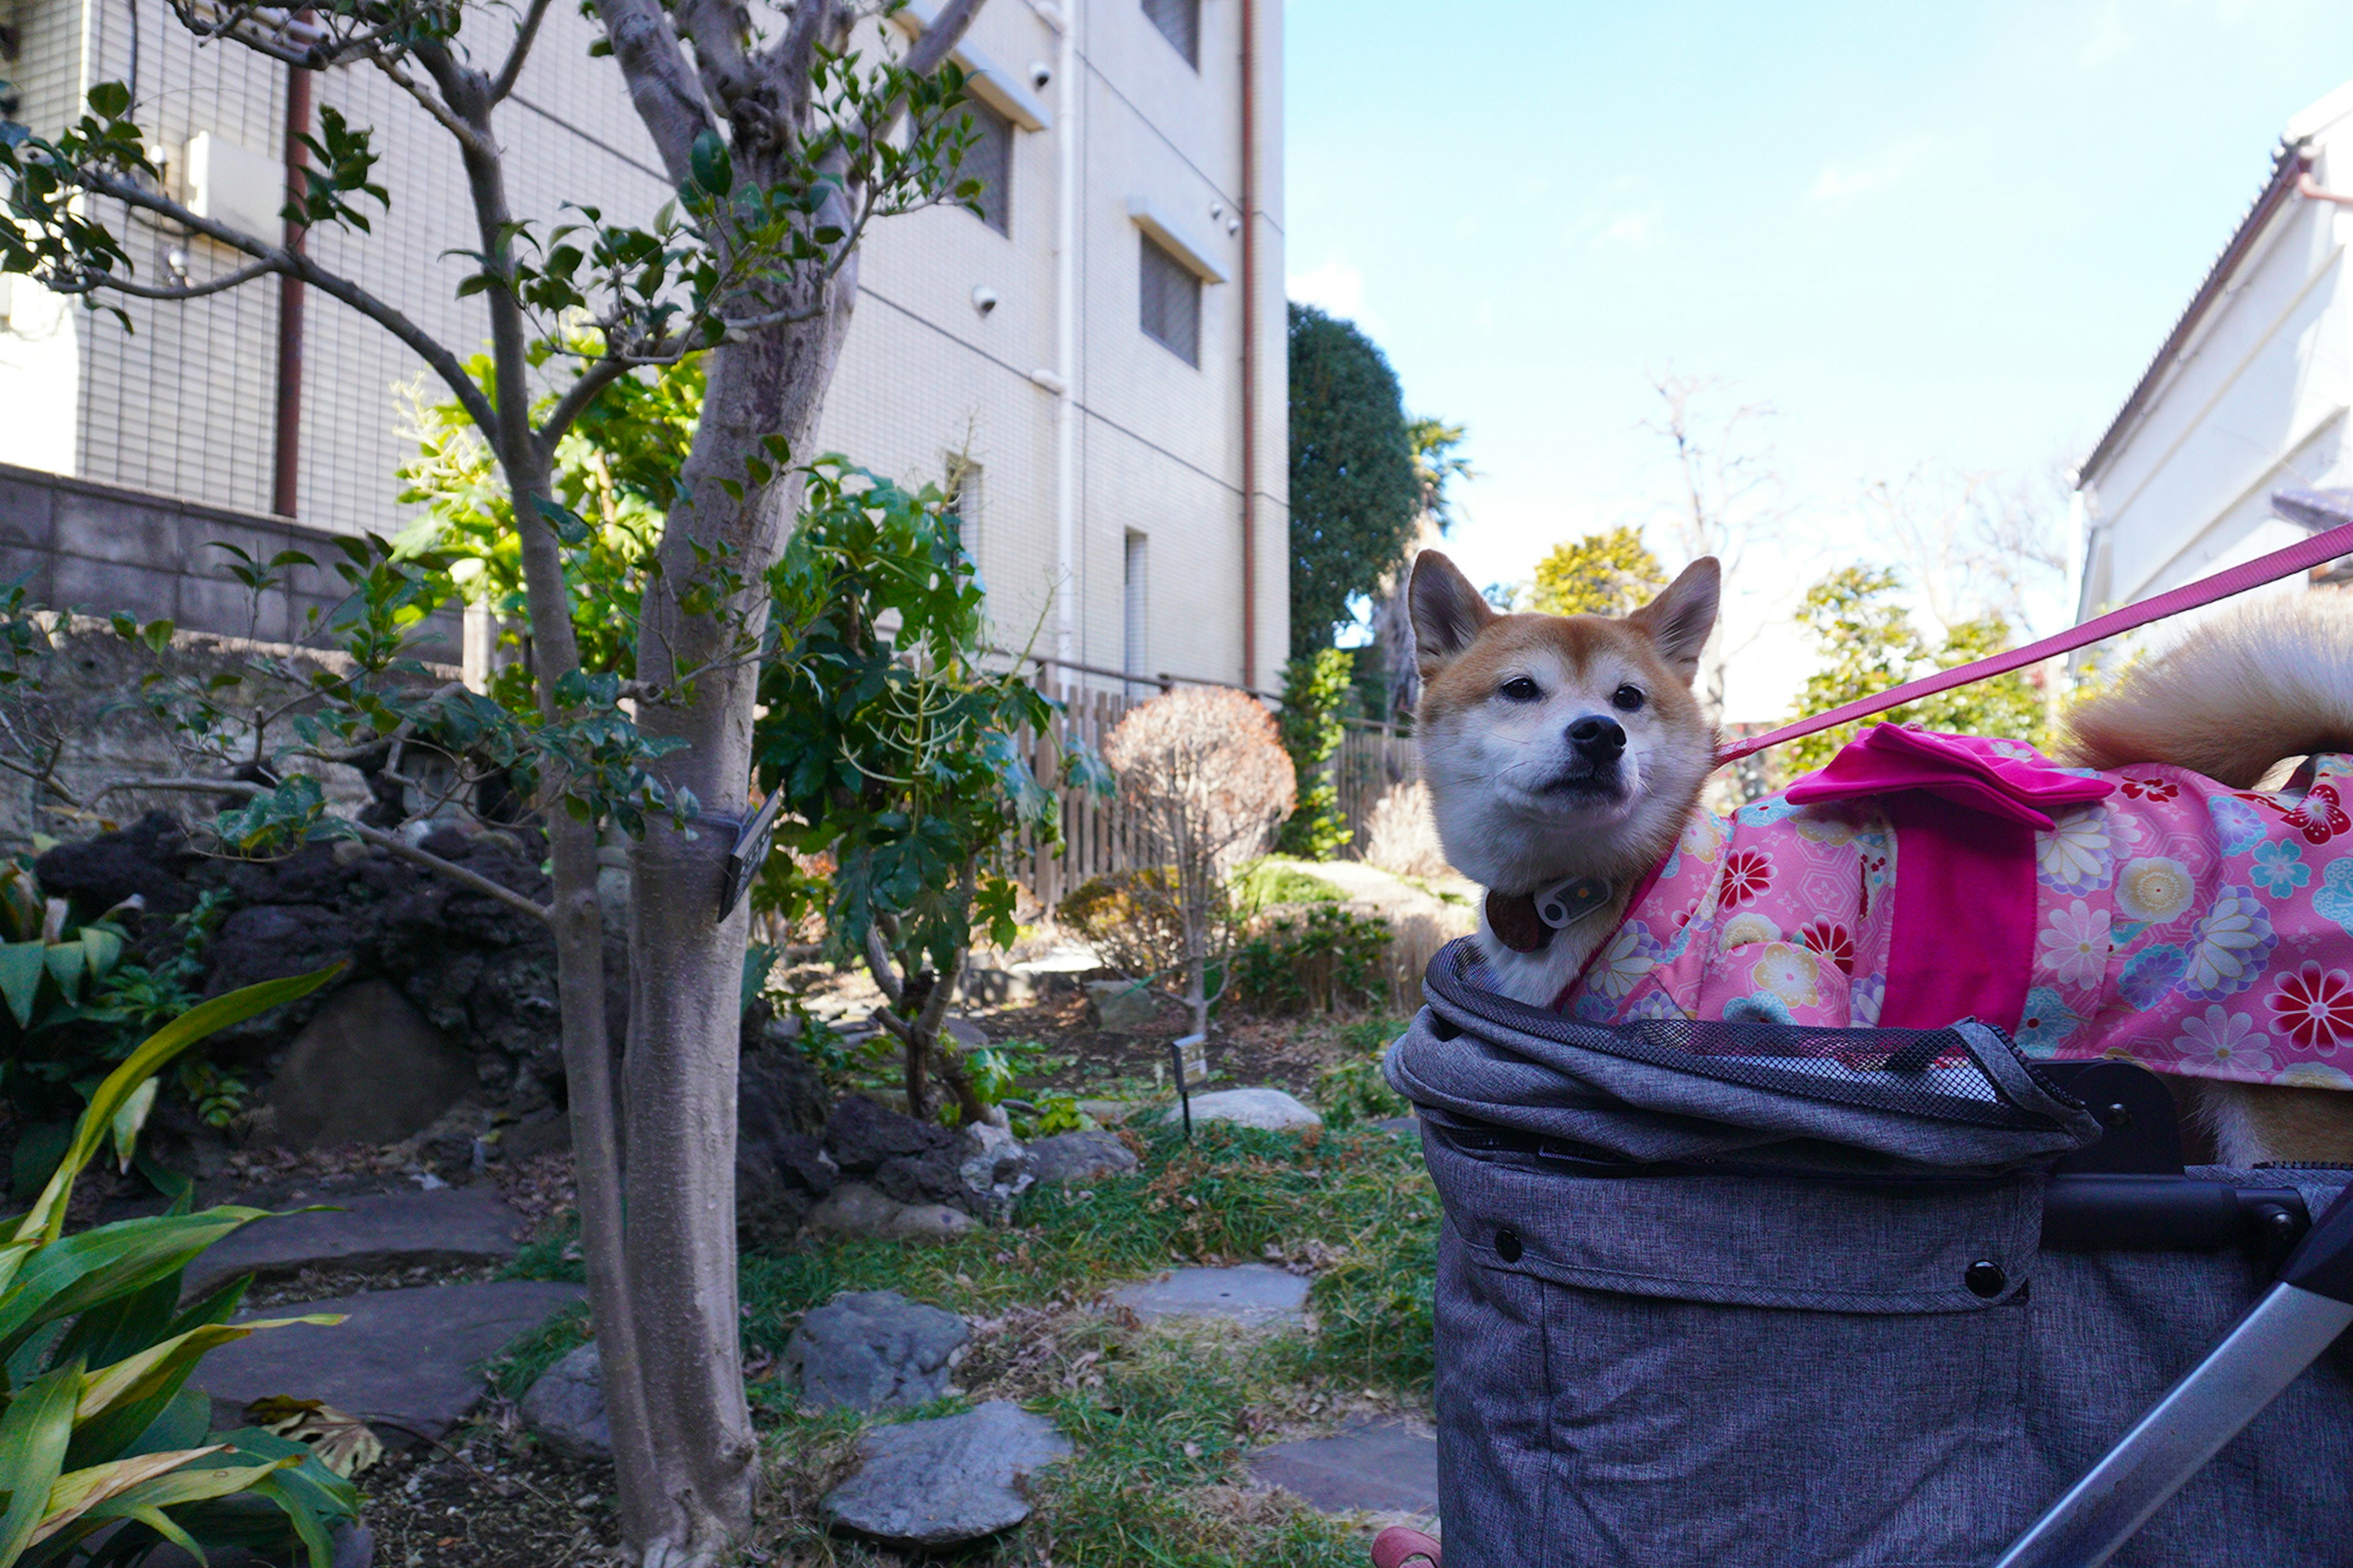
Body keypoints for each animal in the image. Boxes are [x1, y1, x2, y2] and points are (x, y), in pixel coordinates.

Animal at [1402, 548, 2353, 1158]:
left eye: (1629, 699)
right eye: (1520, 689)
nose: (1600, 734)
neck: (1615, 881)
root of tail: (2320, 802)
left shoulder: (1781, 1010)